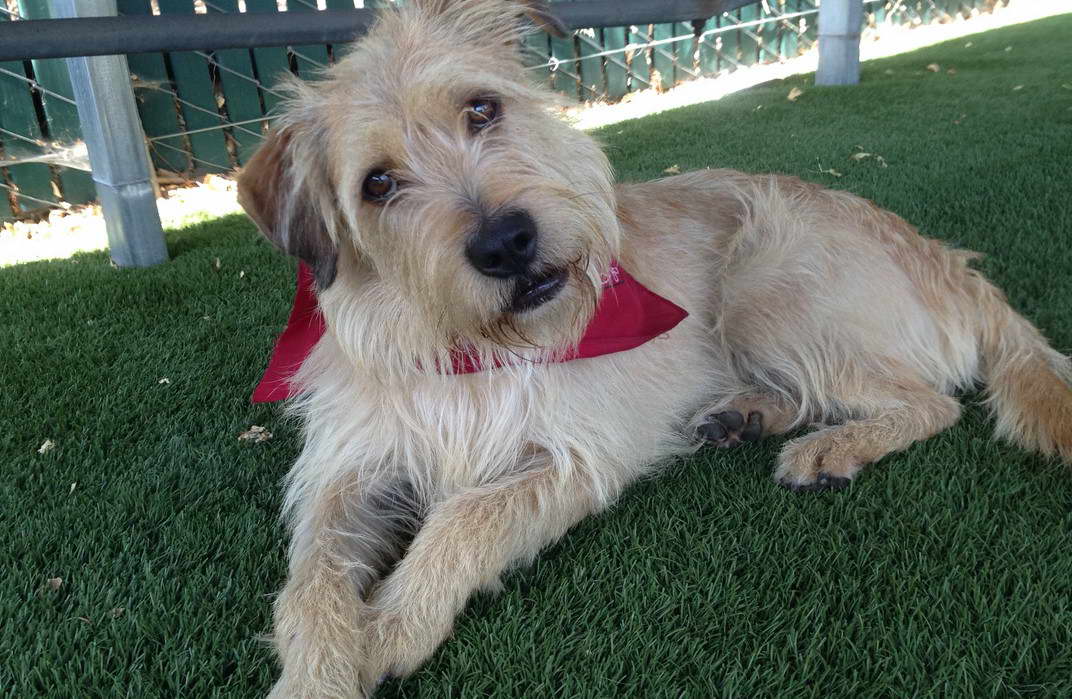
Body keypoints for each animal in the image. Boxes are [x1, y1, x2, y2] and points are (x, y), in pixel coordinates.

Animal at [234, 2, 1072, 694]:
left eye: (481, 109)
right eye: (376, 184)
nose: (506, 240)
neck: (466, 343)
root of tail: (951, 262)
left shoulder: (576, 454)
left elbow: (466, 515)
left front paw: (392, 624)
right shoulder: (347, 470)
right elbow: (308, 581)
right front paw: (317, 674)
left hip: (762, 282)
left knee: (929, 402)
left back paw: (832, 445)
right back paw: (744, 413)